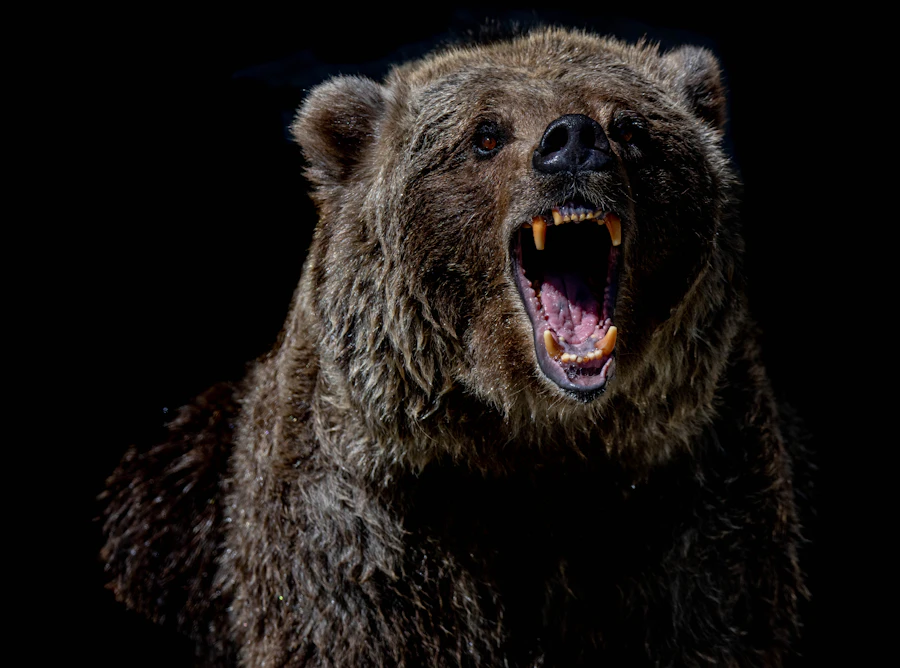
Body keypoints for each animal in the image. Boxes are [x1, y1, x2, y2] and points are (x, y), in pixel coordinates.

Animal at [101, 27, 809, 667]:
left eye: (631, 127)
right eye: (485, 135)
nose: (574, 141)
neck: (532, 445)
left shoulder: (689, 512)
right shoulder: (369, 539)